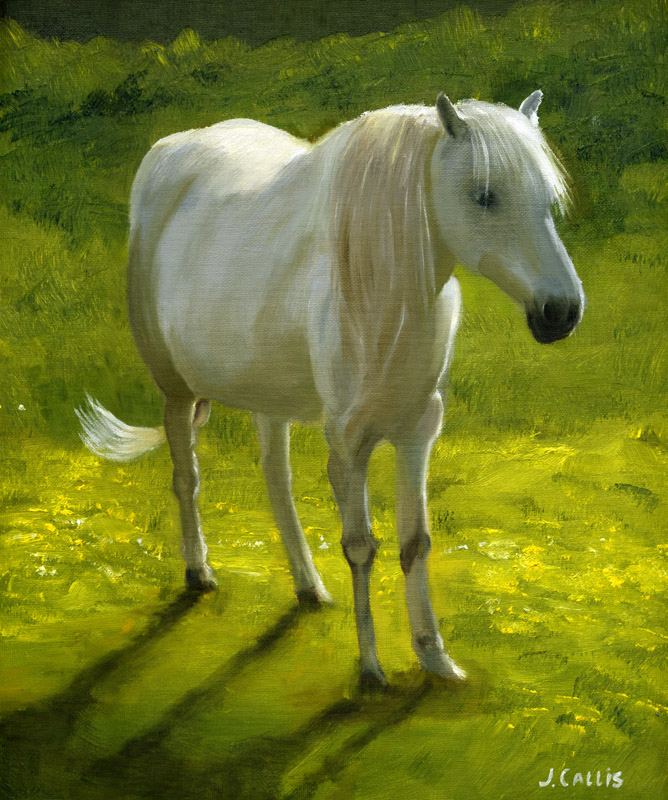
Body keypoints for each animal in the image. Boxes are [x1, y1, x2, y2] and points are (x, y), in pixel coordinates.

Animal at [77, 91, 585, 686]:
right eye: (484, 197)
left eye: (547, 199)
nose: (562, 311)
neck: (385, 289)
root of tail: (171, 148)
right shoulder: (348, 442)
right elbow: (361, 546)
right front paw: (371, 669)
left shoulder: (417, 432)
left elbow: (415, 542)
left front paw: (435, 658)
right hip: (176, 391)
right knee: (188, 480)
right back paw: (199, 572)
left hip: (267, 397)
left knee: (276, 481)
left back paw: (308, 586)